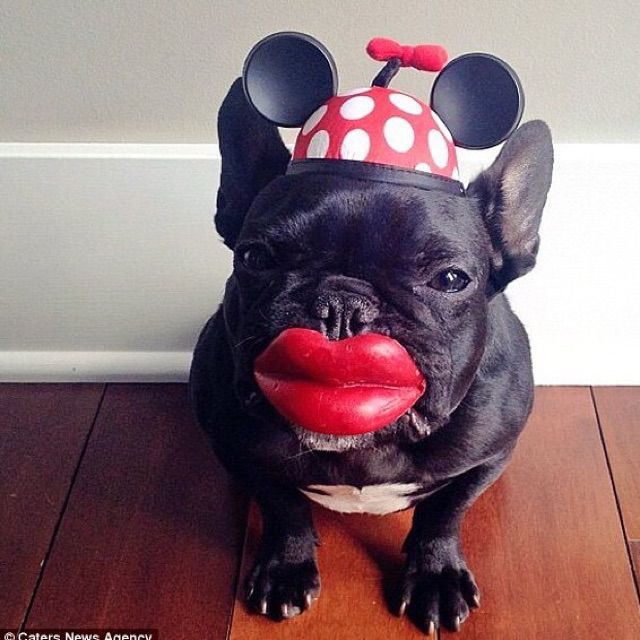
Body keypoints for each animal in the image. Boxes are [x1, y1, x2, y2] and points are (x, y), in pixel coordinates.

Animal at [189, 72, 553, 633]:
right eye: (255, 257)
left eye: (450, 279)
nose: (342, 303)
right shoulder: (236, 445)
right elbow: (282, 507)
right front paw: (286, 569)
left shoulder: (487, 457)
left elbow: (444, 514)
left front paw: (435, 577)